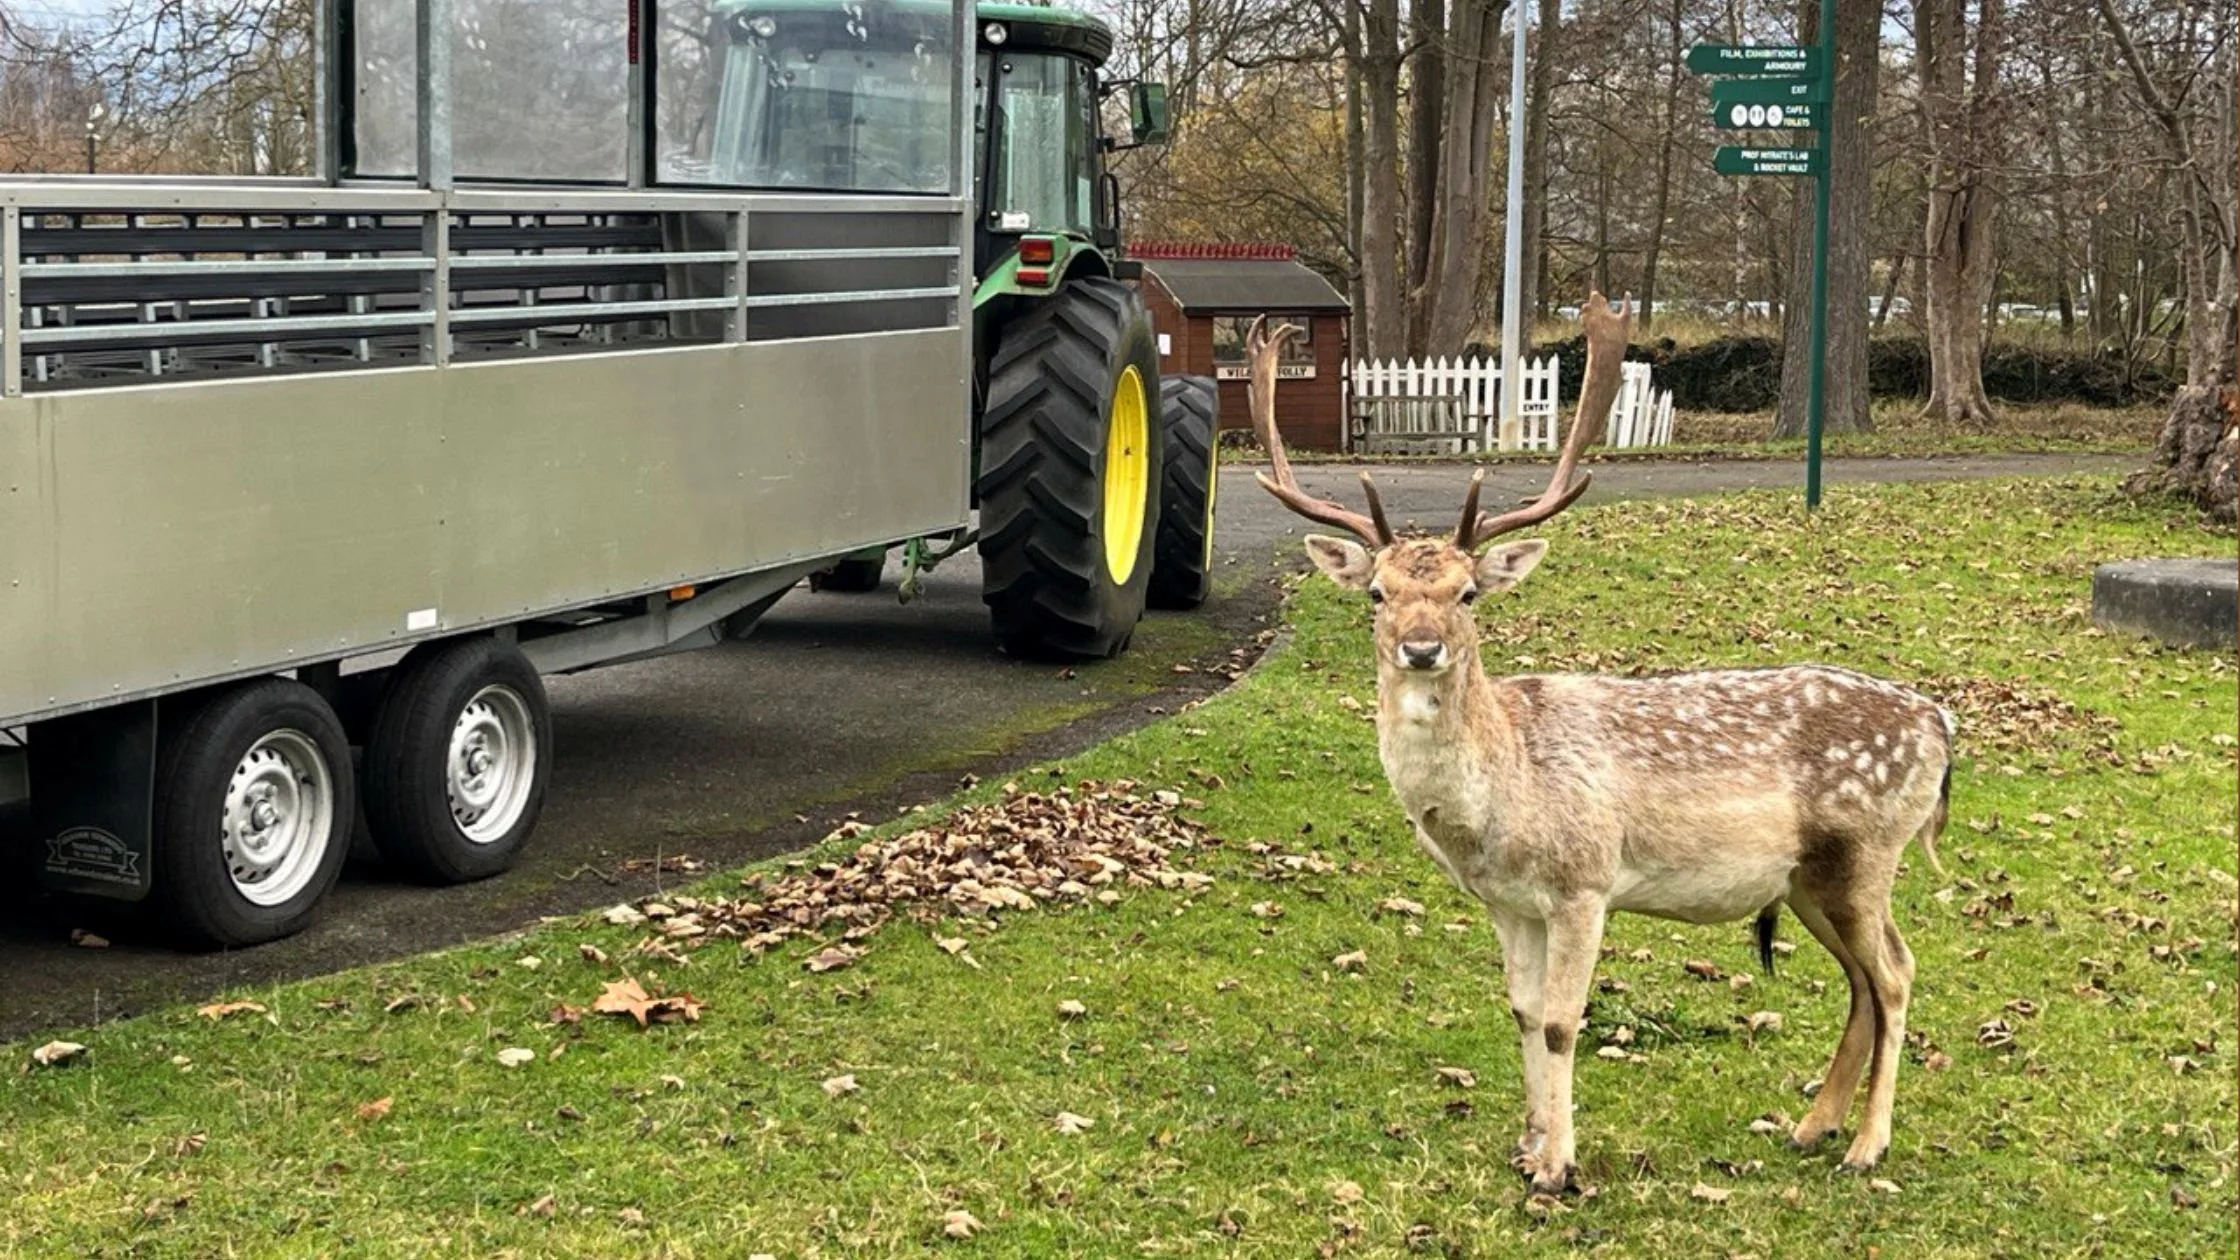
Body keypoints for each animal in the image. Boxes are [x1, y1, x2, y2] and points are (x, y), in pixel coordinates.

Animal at [1244, 297, 1954, 1195]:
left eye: (1467, 593)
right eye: (1377, 592)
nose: (1420, 648)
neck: (1499, 801)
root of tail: (1942, 727)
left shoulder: (1585, 882)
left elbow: (1560, 1019)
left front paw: (1559, 1168)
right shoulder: (1508, 902)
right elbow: (1520, 1011)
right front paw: (1527, 1146)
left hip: (1868, 851)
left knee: (1895, 972)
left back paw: (1868, 1144)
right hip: (1807, 880)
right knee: (1863, 979)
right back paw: (1810, 1126)